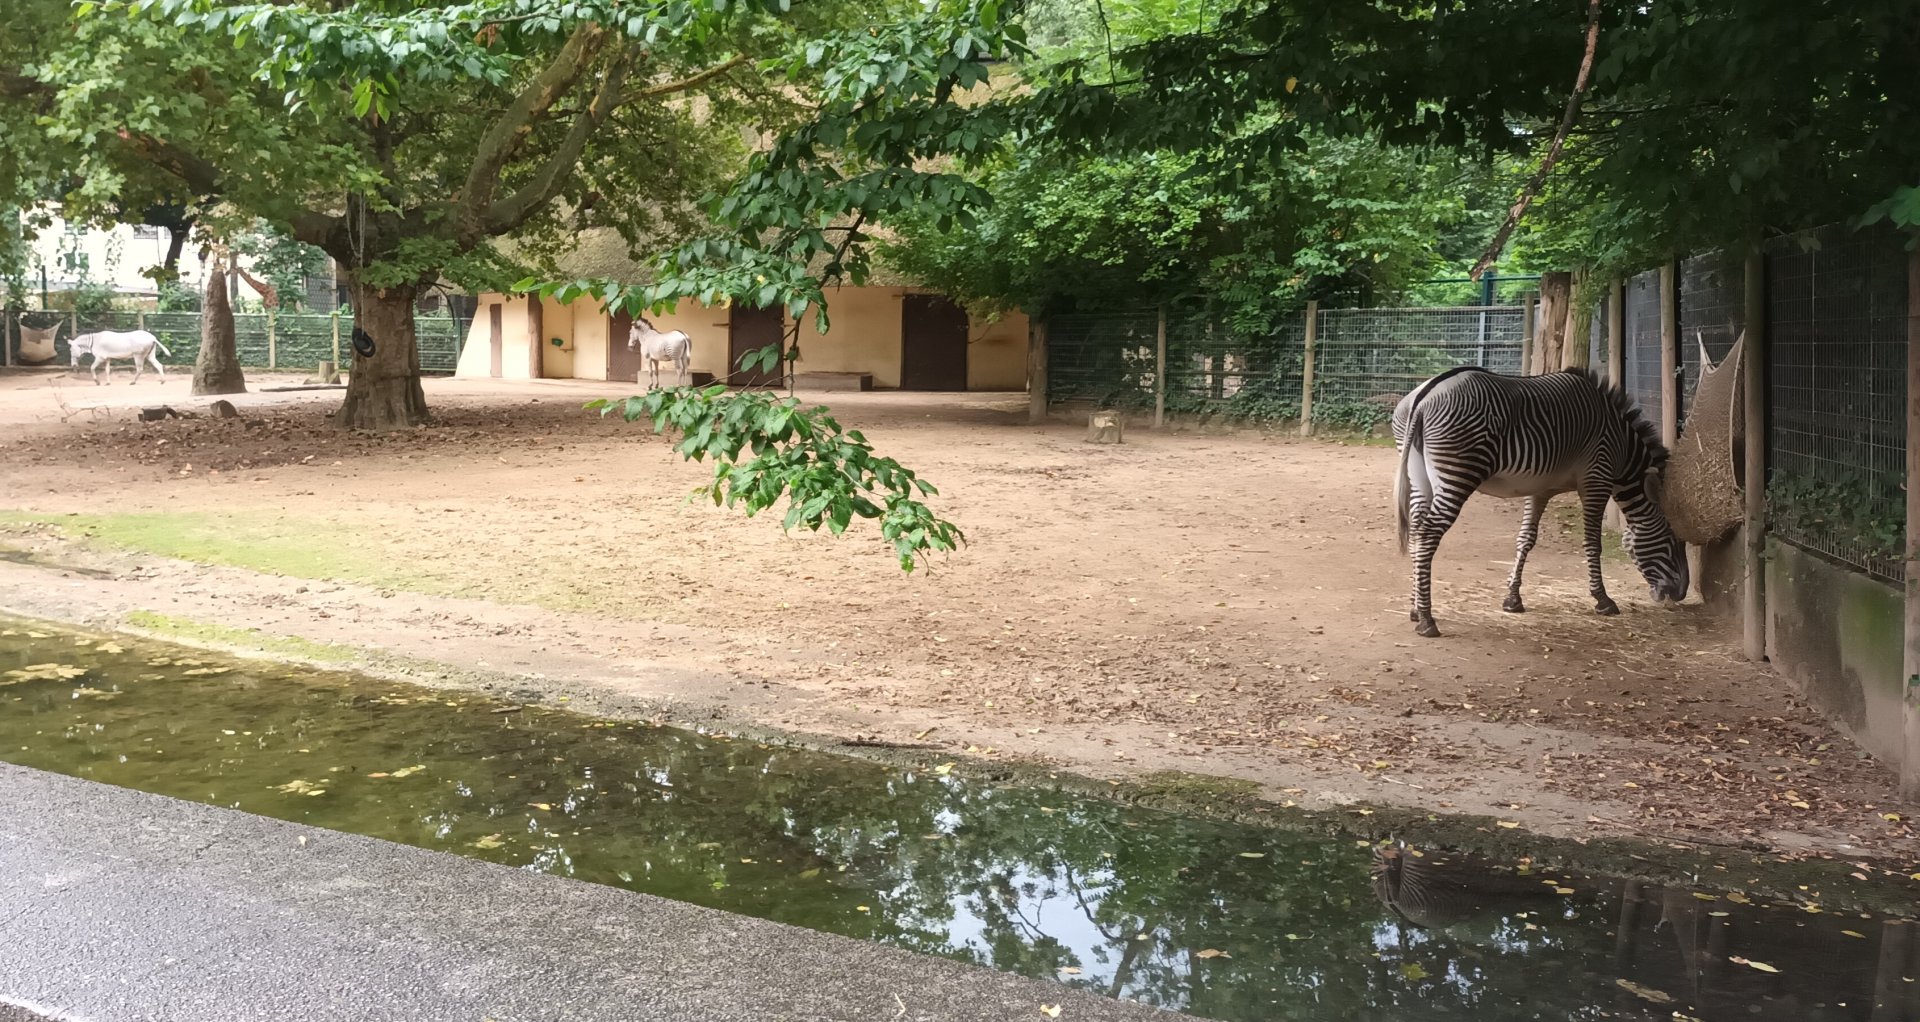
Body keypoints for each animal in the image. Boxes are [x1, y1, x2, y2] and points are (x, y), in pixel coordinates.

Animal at [1391, 366, 1688, 638]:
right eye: (1672, 539)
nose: (1682, 593)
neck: (1622, 446)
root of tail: (1425, 395)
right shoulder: (1596, 480)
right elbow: (1593, 543)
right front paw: (1603, 599)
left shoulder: (1540, 489)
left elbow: (1525, 539)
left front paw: (1513, 599)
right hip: (1458, 472)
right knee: (1428, 533)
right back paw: (1427, 619)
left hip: (1419, 477)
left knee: (1416, 531)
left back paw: (1416, 607)